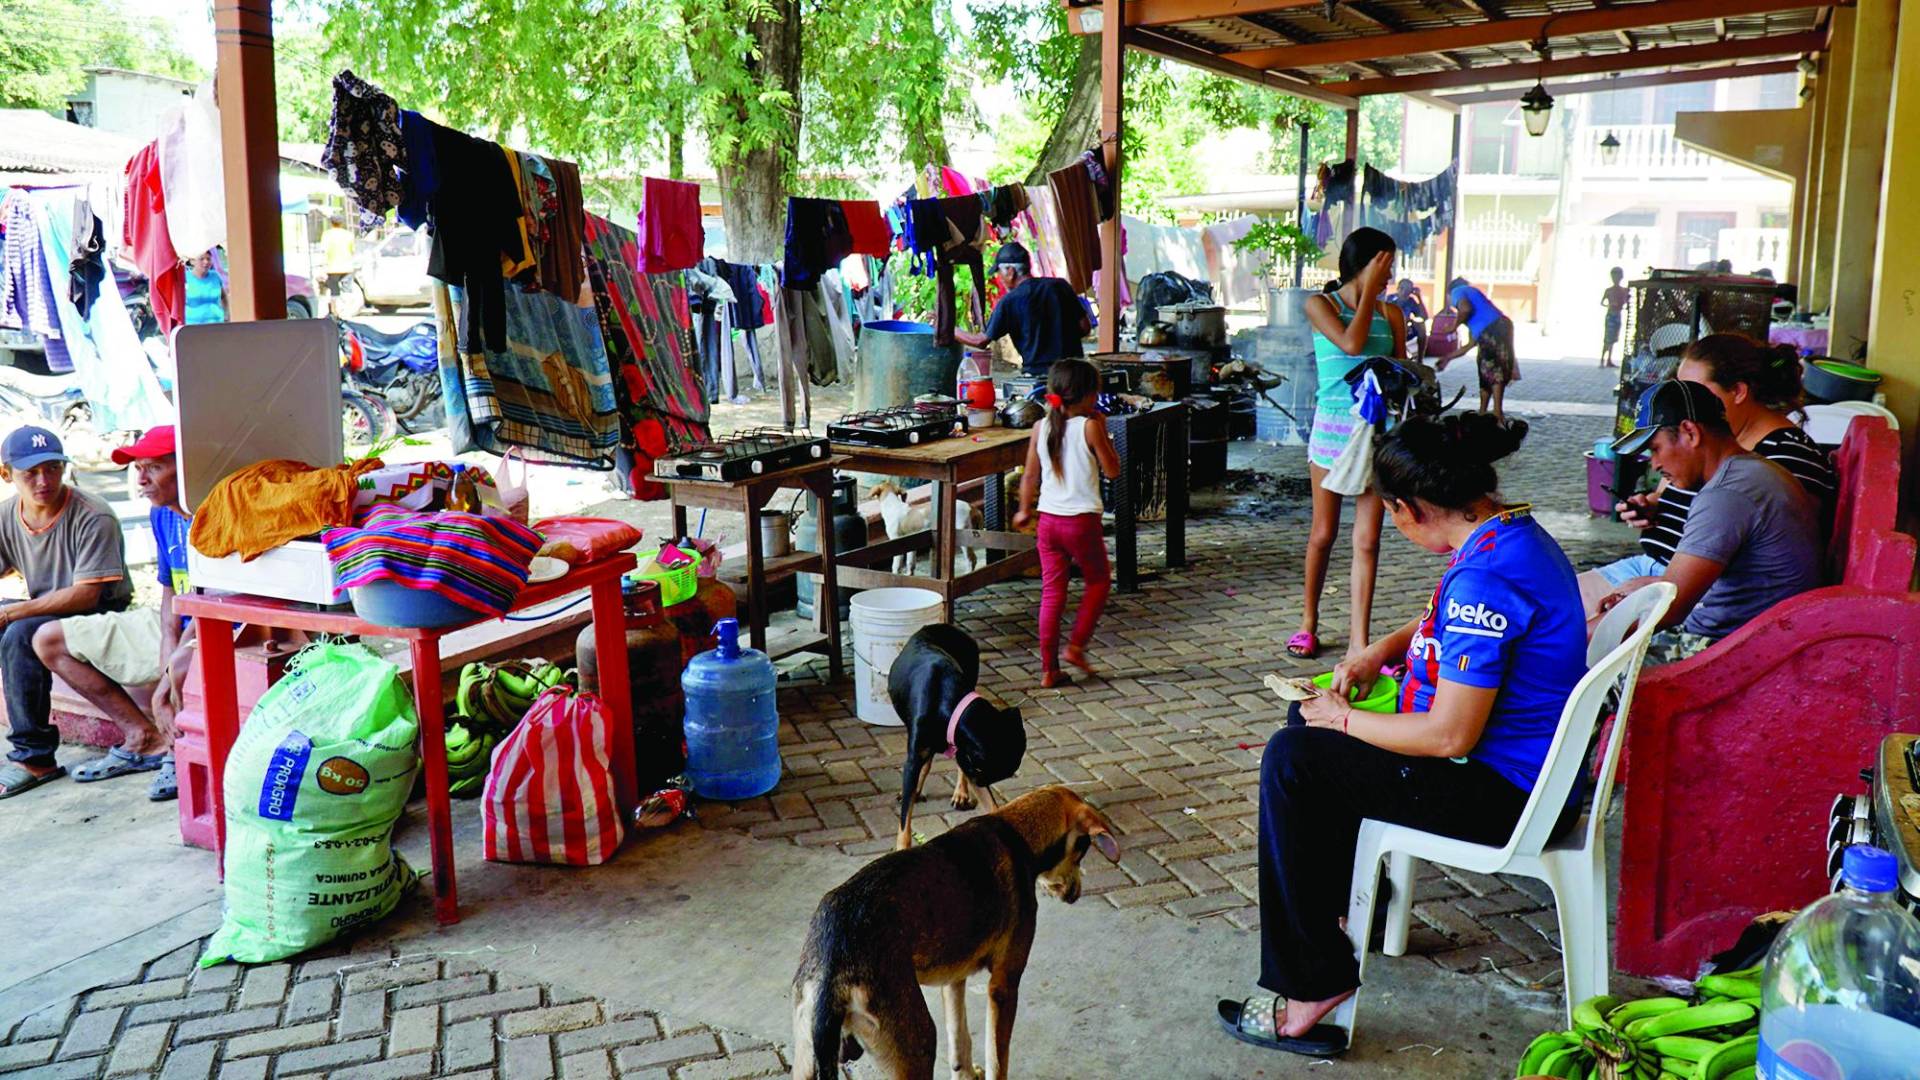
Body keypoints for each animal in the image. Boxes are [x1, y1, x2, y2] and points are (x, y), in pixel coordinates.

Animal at [791, 780, 1121, 1076]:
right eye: (1083, 850)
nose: (1075, 894)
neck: (1017, 832)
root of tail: (833, 973)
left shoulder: (953, 979)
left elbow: (961, 1044)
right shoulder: (1003, 986)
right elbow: (998, 1060)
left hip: (806, 1059)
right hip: (918, 1045)